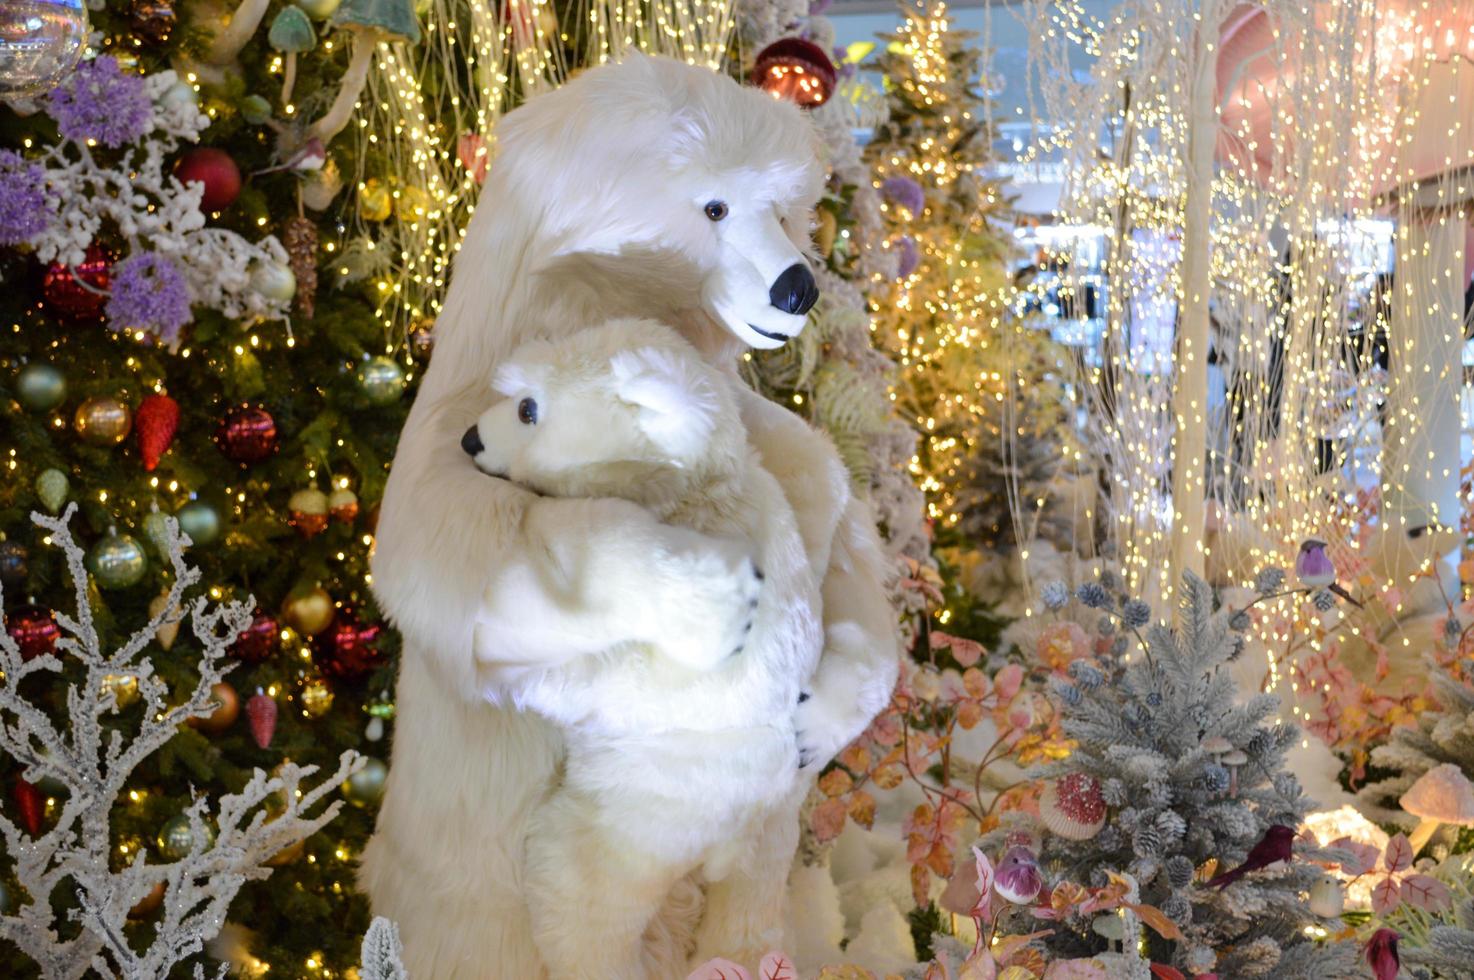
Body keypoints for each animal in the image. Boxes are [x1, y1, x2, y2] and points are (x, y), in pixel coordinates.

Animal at [362, 55, 902, 978]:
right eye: (714, 206)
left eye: (782, 209)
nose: (799, 285)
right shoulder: (450, 423)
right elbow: (457, 552)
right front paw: (713, 601)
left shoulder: (781, 445)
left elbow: (842, 541)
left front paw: (825, 711)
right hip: (504, 892)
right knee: (572, 897)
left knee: (756, 881)